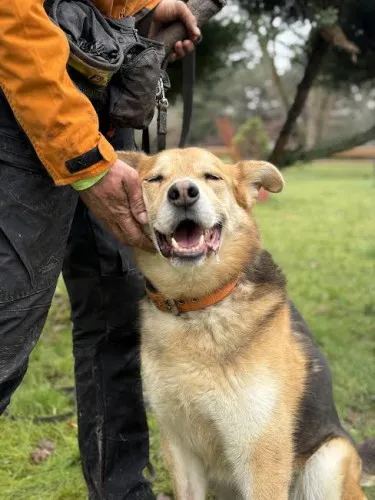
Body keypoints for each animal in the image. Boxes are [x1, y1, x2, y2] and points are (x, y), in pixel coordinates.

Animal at [119, 148, 374, 500]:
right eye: (155, 179)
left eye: (212, 176)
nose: (182, 192)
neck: (200, 304)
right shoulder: (180, 447)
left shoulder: (262, 453)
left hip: (328, 461)